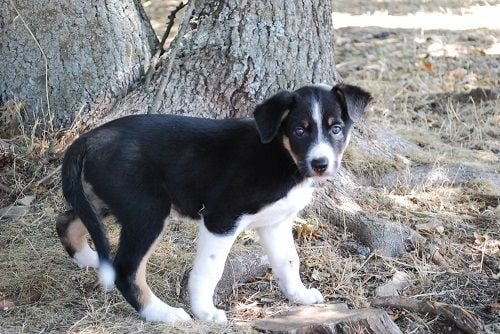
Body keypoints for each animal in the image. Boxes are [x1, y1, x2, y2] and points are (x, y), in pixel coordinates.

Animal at [55, 83, 372, 324]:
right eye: (299, 131)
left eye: (336, 129)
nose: (320, 164)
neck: (283, 157)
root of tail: (86, 139)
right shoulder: (221, 218)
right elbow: (210, 270)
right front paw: (205, 312)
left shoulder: (275, 222)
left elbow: (289, 261)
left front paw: (300, 295)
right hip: (147, 211)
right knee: (126, 268)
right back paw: (163, 314)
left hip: (110, 200)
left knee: (67, 221)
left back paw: (90, 259)